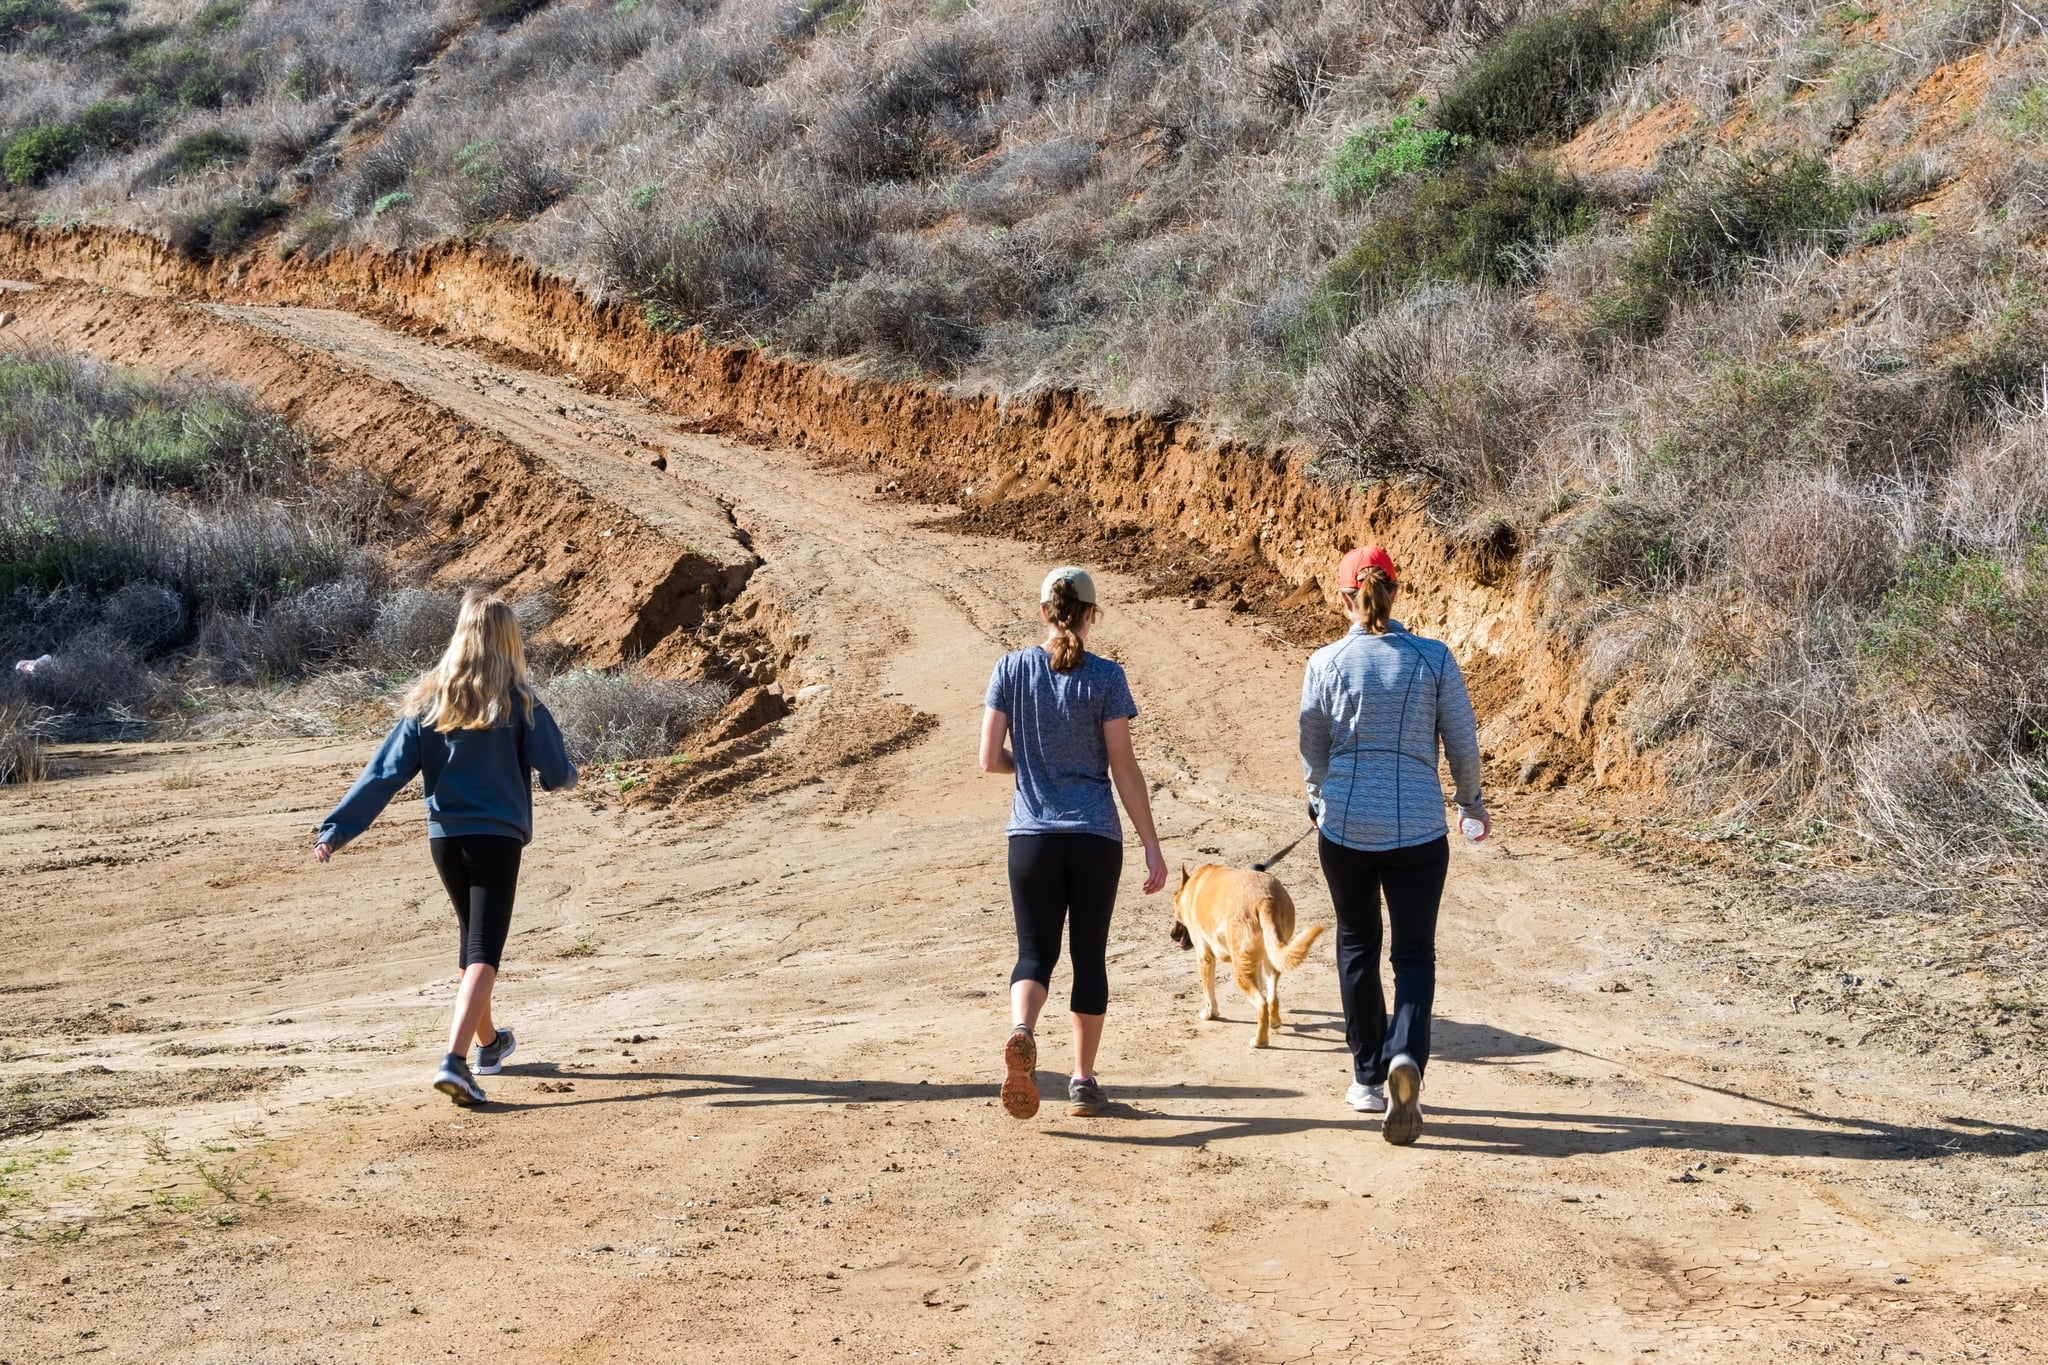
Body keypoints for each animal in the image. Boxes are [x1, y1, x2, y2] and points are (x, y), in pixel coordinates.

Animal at [1171, 863, 1327, 1047]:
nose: (1172, 935)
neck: (1193, 888)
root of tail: (1265, 899)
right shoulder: (1256, 962)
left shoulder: (1205, 958)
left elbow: (1208, 992)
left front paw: (1210, 1014)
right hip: (1268, 960)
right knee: (1271, 998)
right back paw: (1274, 1022)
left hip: (1240, 971)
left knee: (1262, 1003)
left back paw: (1259, 1041)